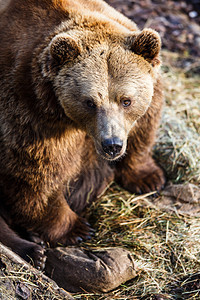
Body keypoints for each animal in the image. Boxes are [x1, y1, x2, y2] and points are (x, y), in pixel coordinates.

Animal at [0, 0, 165, 268]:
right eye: (89, 102)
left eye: (126, 100)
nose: (112, 145)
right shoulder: (29, 115)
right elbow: (36, 176)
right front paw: (76, 229)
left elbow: (144, 128)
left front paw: (148, 178)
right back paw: (34, 249)